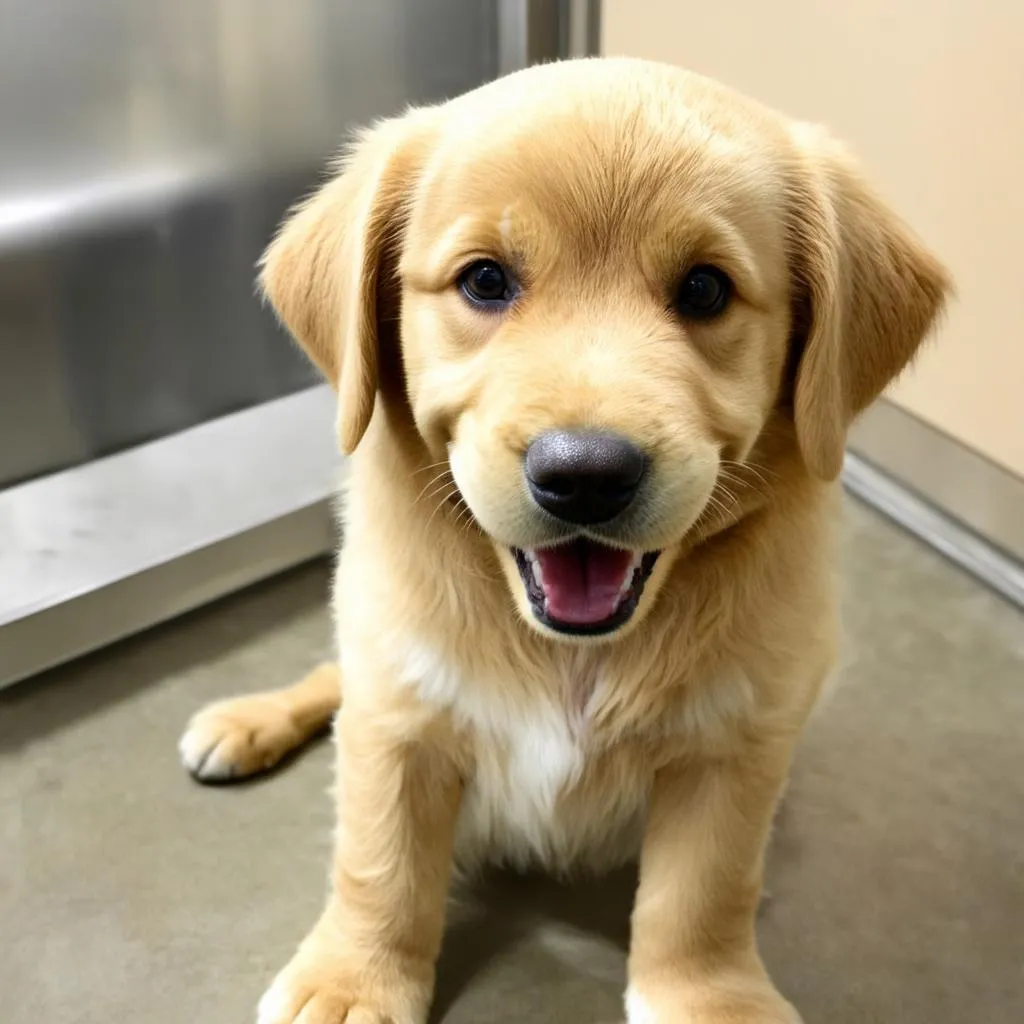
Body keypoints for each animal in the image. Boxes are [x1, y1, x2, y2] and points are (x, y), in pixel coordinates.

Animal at [180, 58, 946, 1024]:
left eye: (705, 290)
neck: (572, 652)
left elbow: (703, 895)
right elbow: (378, 863)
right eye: (484, 282)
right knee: (335, 676)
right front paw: (352, 981)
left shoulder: (734, 749)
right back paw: (248, 720)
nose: (585, 474)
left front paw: (708, 997)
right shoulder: (397, 720)